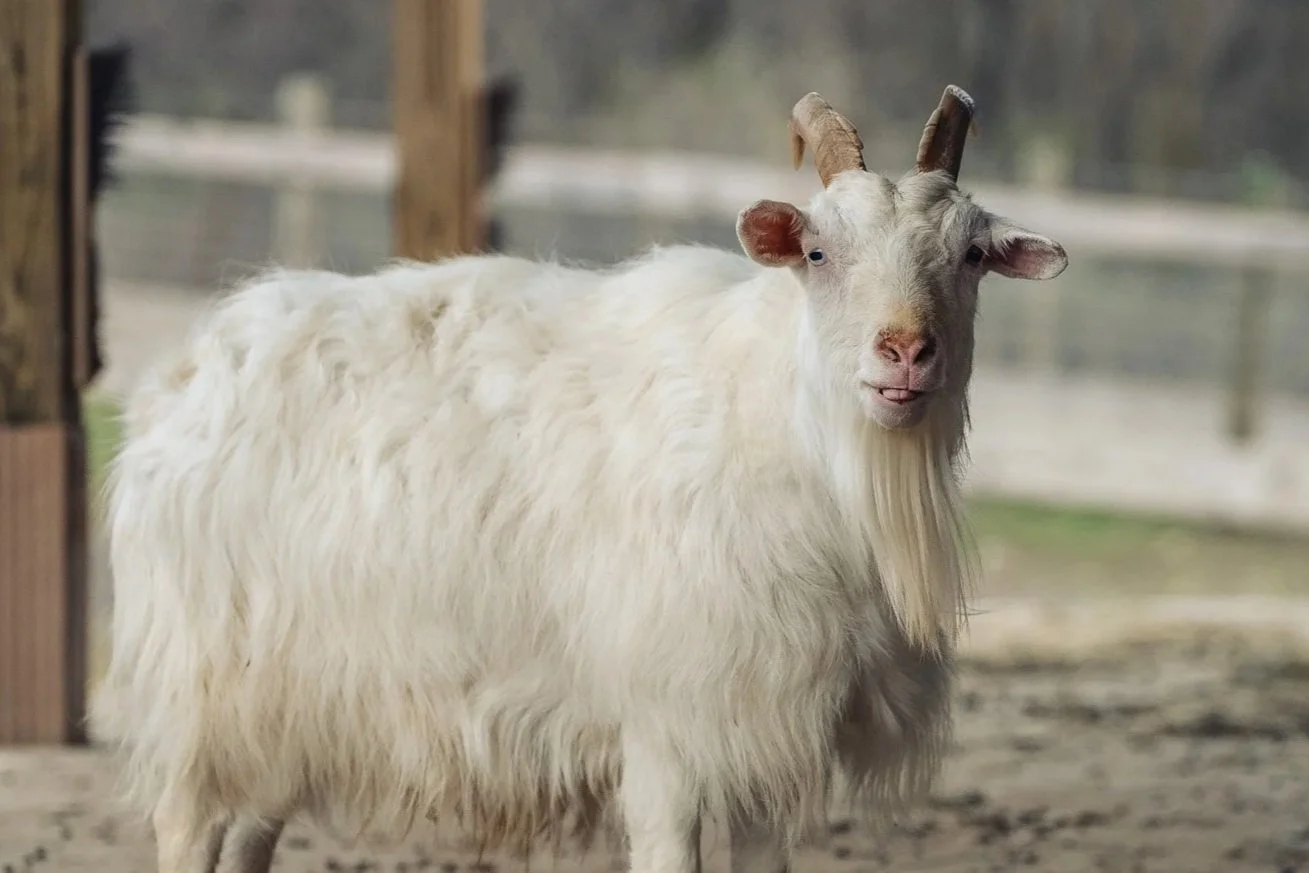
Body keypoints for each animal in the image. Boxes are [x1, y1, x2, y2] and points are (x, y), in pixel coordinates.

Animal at [91, 86, 1067, 873]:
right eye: (818, 253)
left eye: (971, 254)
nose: (904, 352)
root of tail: (185, 372)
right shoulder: (670, 730)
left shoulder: (771, 731)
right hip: (206, 689)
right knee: (187, 830)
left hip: (286, 705)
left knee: (248, 834)